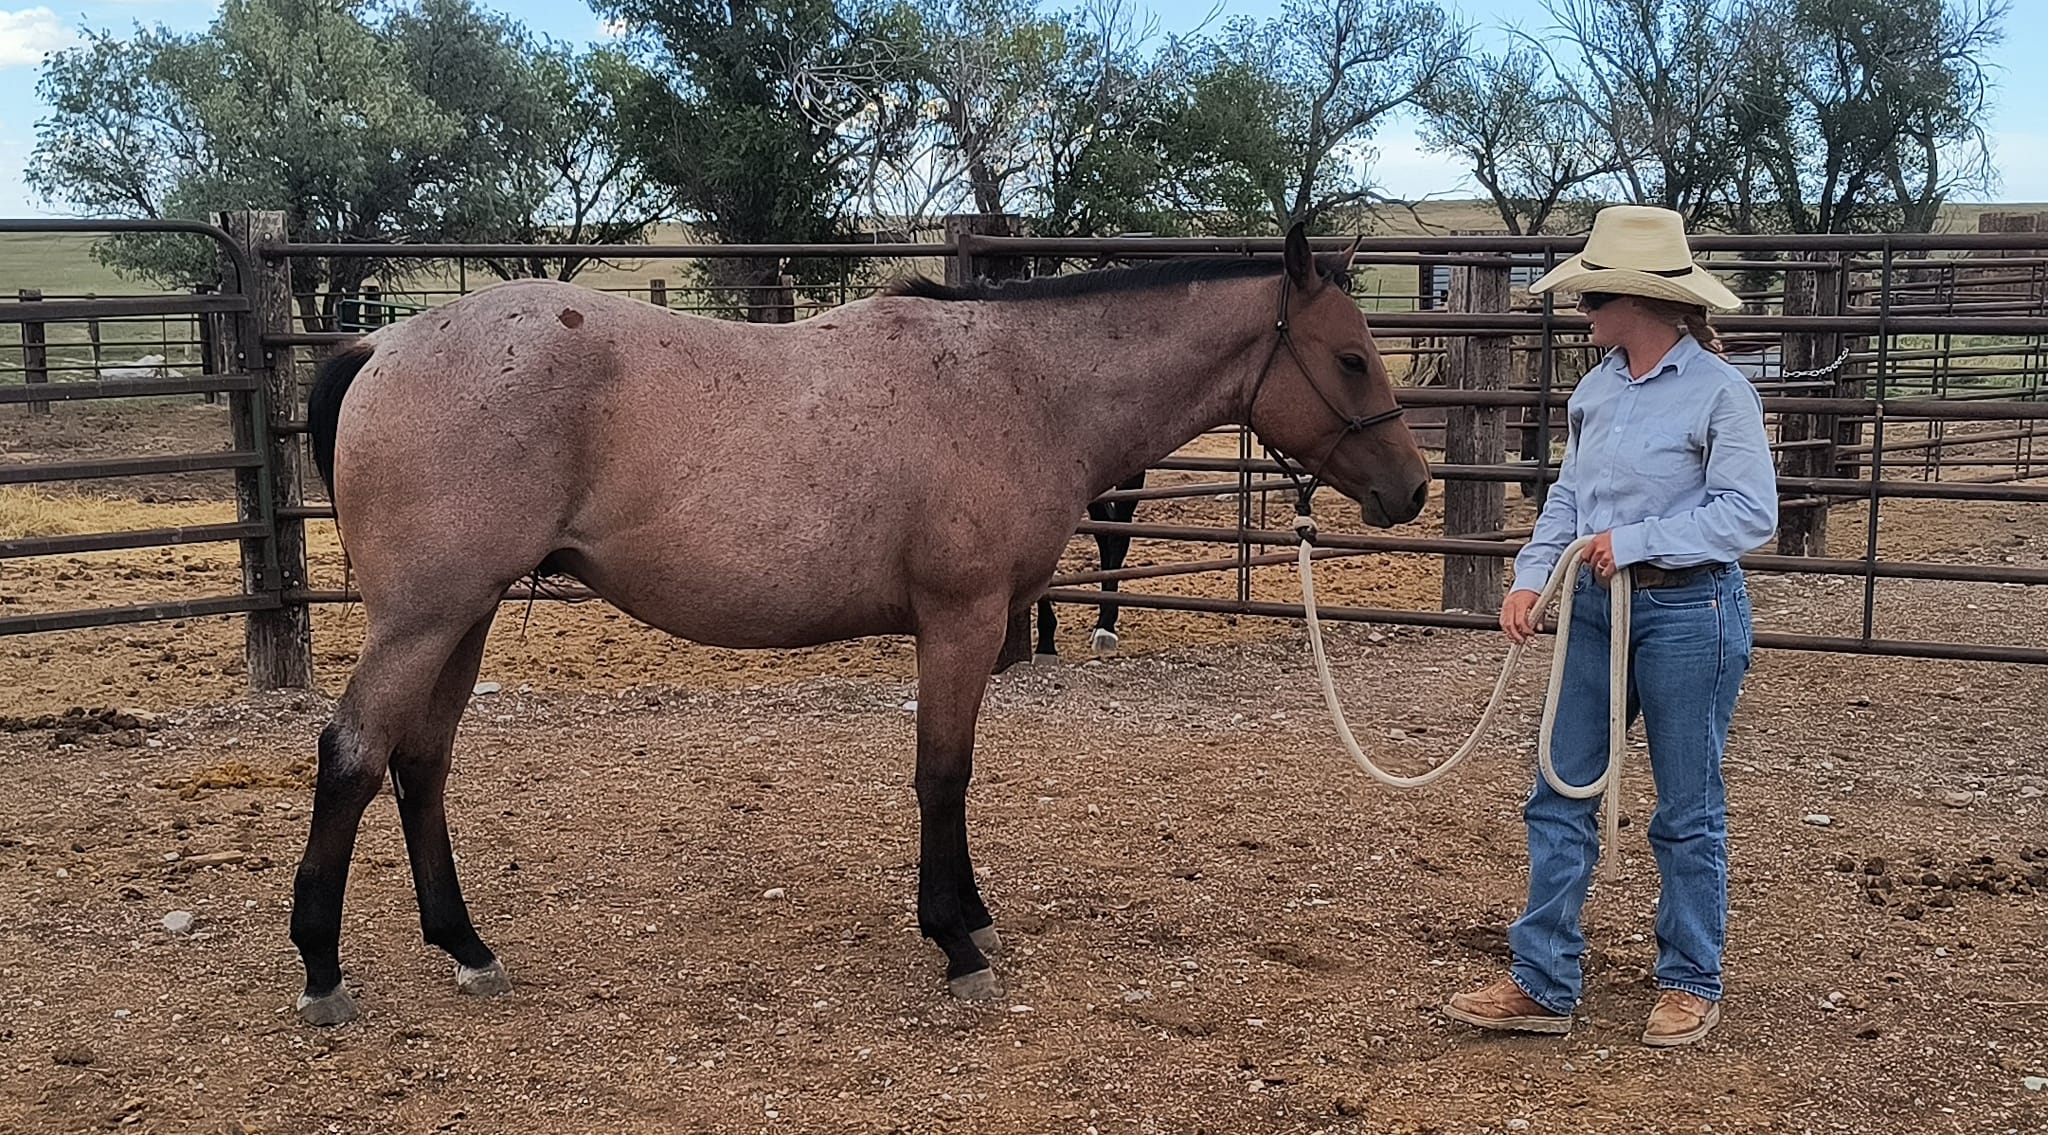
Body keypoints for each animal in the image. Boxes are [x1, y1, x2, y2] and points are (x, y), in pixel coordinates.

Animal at [290, 223, 1430, 1025]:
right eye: (1349, 359)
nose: (1411, 489)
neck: (1021, 387)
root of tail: (381, 342)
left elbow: (951, 776)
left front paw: (971, 915)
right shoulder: (960, 623)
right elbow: (943, 776)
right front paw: (956, 941)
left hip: (466, 615)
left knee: (421, 761)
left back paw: (466, 947)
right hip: (426, 617)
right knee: (352, 754)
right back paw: (323, 970)